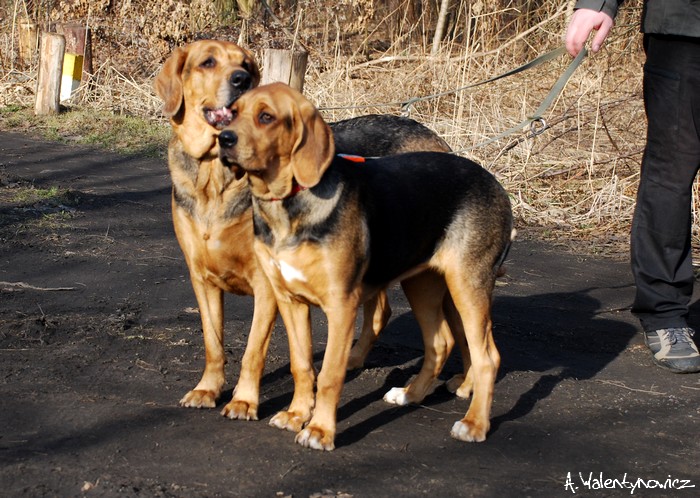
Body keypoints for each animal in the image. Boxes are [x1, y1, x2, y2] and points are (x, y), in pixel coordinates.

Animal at [152, 40, 448, 418]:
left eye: (245, 64)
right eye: (207, 62)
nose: (241, 79)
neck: (215, 177)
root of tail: (436, 139)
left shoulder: (267, 284)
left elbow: (253, 351)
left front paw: (244, 401)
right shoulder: (202, 279)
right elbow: (213, 342)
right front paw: (208, 389)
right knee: (380, 311)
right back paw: (353, 359)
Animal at [219, 82, 516, 452]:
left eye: (266, 117)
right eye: (232, 113)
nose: (223, 139)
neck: (289, 203)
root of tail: (495, 184)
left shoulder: (341, 307)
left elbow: (330, 375)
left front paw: (320, 430)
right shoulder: (291, 302)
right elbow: (302, 365)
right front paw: (296, 415)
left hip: (466, 286)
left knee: (488, 357)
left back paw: (474, 424)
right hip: (422, 284)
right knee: (440, 343)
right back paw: (410, 395)